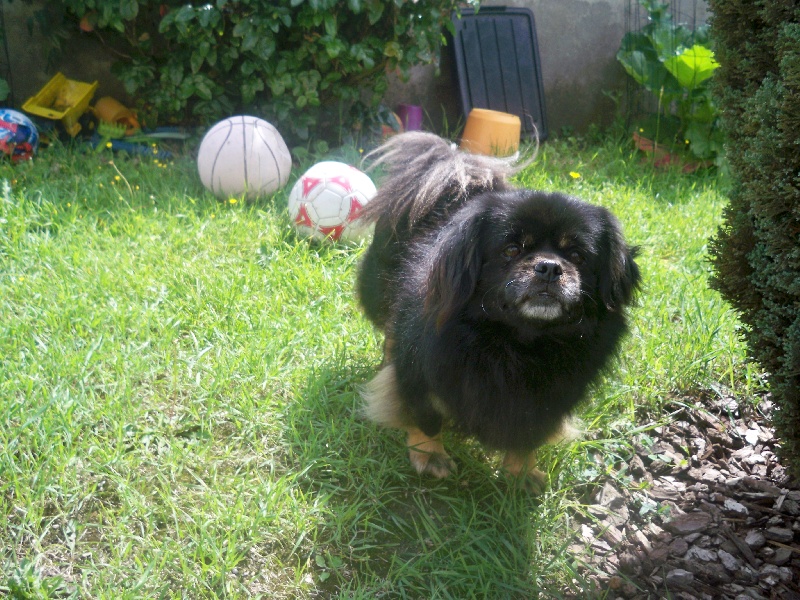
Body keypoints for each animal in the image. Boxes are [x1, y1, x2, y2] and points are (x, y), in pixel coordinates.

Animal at [356, 132, 640, 490]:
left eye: (577, 256)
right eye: (512, 249)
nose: (549, 267)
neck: (518, 341)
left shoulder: (548, 401)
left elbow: (528, 435)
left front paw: (522, 473)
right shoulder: (418, 367)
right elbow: (425, 414)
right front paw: (429, 455)